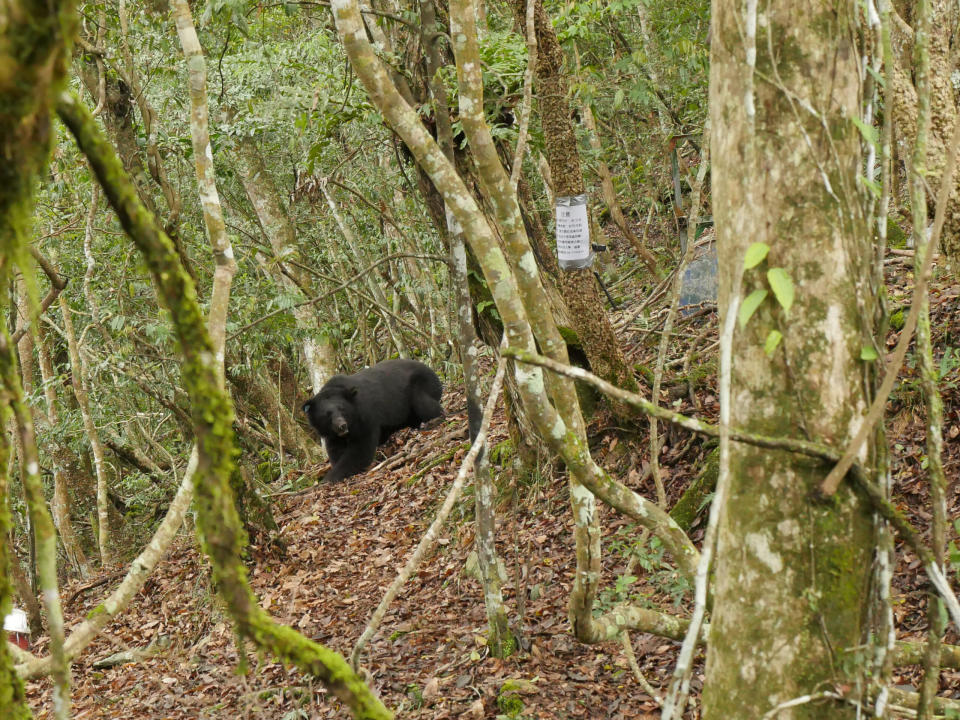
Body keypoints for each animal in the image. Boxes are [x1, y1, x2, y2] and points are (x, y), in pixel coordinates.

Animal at [302, 360, 444, 484]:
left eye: (342, 409)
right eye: (327, 415)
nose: (342, 426)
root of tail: (433, 373)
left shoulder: (365, 416)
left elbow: (360, 449)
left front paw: (329, 478)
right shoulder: (332, 434)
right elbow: (336, 450)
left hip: (420, 385)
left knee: (425, 404)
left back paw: (433, 422)